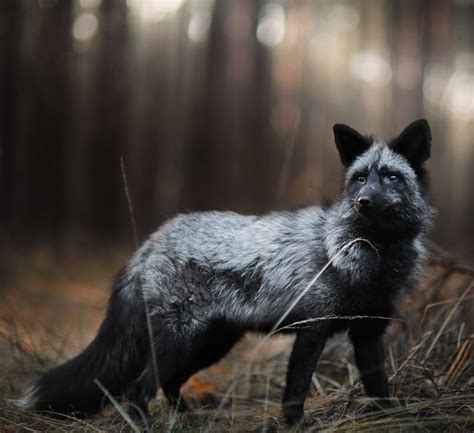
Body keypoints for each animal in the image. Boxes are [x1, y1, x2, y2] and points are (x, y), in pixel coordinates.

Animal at [15, 118, 434, 422]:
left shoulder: (369, 332)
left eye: (391, 177)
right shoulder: (311, 330)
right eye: (360, 178)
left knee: (168, 384)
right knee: (139, 387)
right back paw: (145, 424)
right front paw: (296, 425)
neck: (371, 257)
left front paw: (393, 418)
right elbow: (295, 391)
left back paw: (187, 417)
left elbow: (379, 387)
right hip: (182, 340)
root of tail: (151, 242)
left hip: (210, 343)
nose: (363, 201)